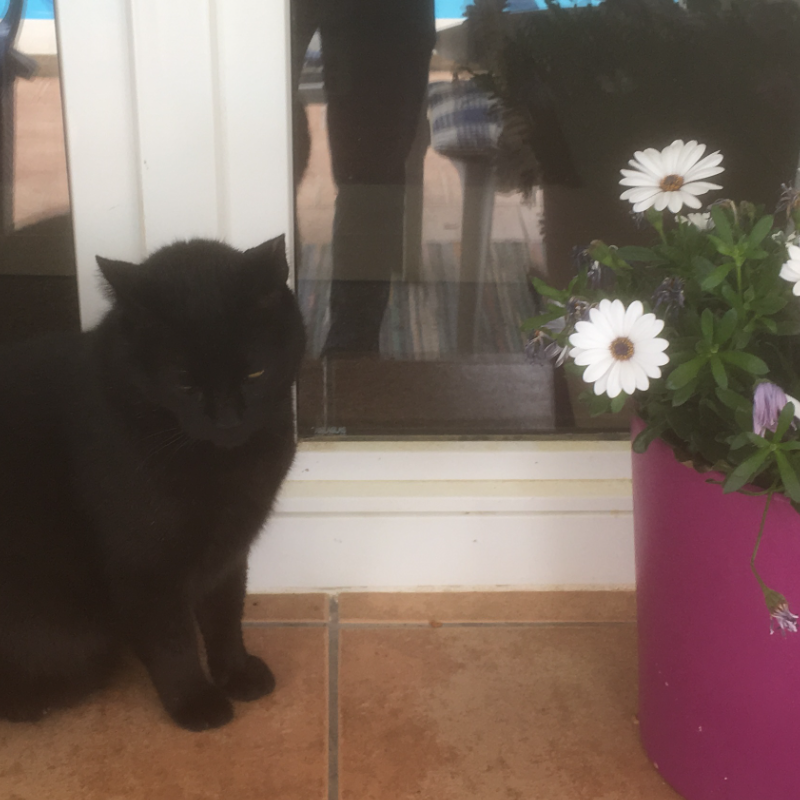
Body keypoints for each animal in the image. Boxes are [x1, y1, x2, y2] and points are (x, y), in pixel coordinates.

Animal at [0, 234, 306, 731]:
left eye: (255, 372)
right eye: (184, 384)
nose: (227, 420)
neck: (223, 466)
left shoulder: (228, 550)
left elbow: (225, 616)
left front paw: (236, 673)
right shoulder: (144, 568)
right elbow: (172, 643)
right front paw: (196, 703)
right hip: (70, 630)